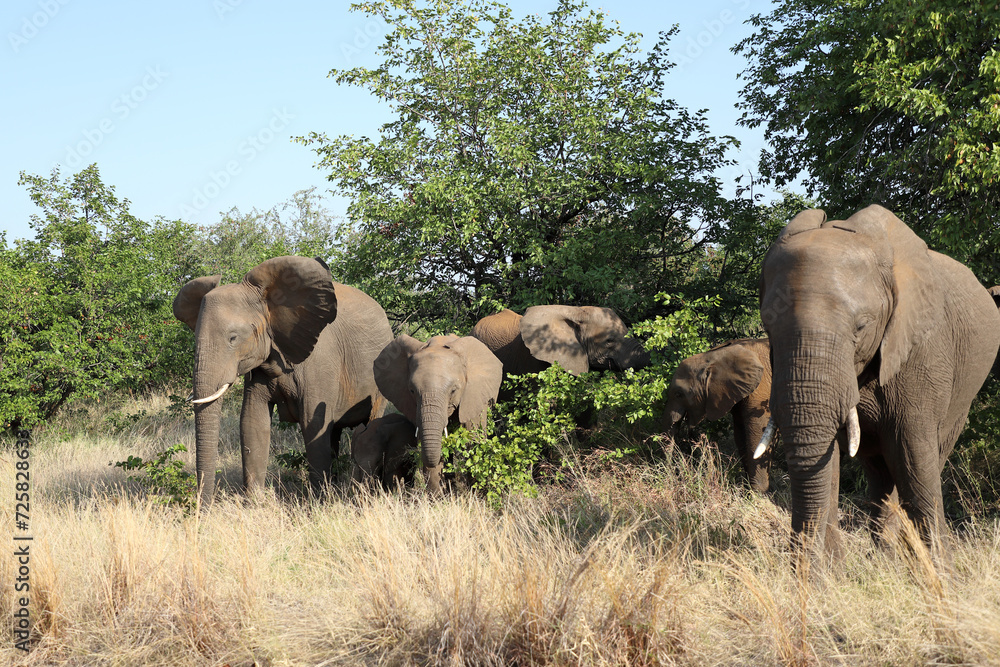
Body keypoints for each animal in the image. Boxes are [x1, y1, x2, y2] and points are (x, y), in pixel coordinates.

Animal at [172, 258, 394, 506]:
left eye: (233, 338)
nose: (204, 508)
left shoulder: (320, 360)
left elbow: (313, 423)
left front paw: (318, 501)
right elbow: (253, 421)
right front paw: (255, 503)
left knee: (370, 421)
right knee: (334, 430)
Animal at [664, 340, 772, 490]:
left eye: (679, 394)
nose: (673, 477)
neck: (714, 356)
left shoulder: (760, 391)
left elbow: (757, 434)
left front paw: (757, 492)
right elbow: (740, 434)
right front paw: (746, 488)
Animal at [756, 206, 1000, 560]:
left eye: (861, 326)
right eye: (768, 327)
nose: (803, 568)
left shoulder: (923, 351)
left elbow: (914, 455)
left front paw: (938, 569)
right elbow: (829, 458)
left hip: (963, 398)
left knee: (923, 456)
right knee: (879, 469)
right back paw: (885, 553)